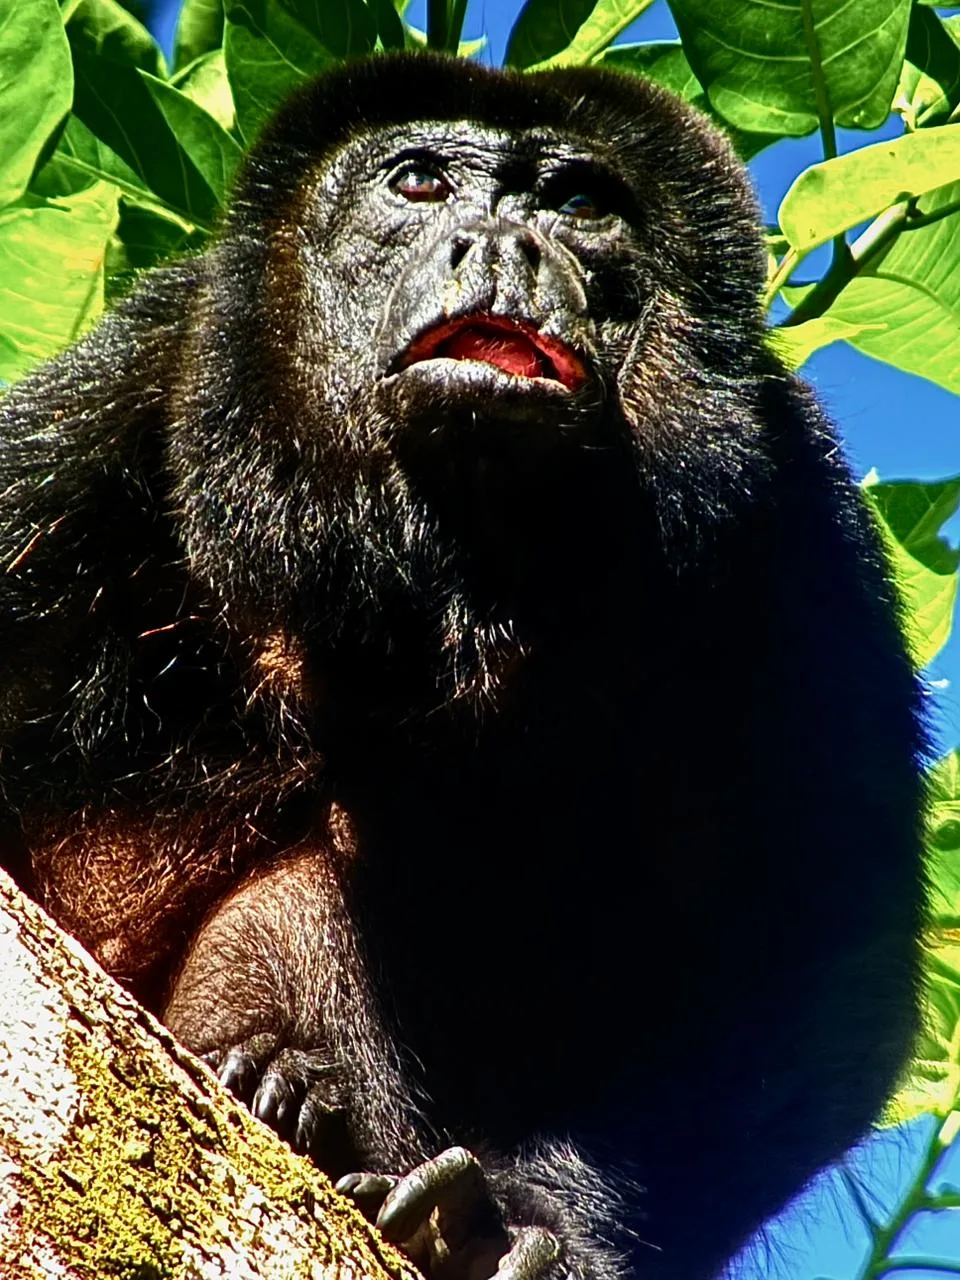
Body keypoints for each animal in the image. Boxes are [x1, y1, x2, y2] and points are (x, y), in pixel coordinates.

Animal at [0, 50, 926, 1280]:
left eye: (579, 202)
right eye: (420, 181)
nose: (501, 242)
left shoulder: (798, 517)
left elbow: (827, 941)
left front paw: (535, 1225)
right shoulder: (123, 391)